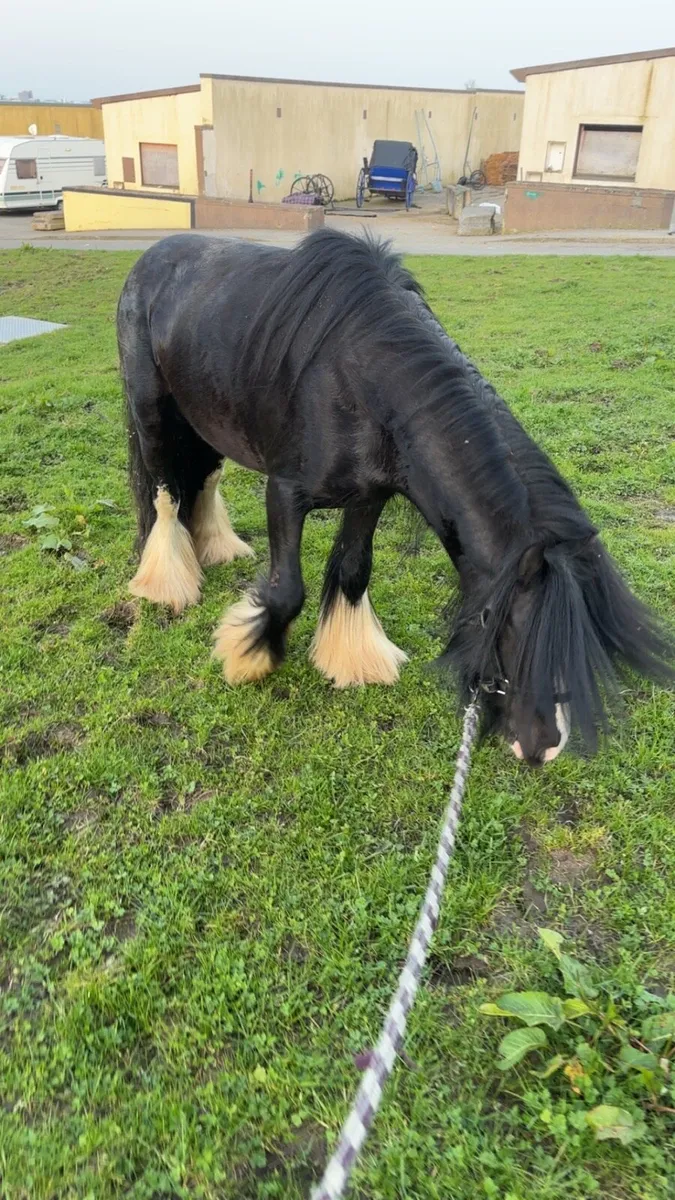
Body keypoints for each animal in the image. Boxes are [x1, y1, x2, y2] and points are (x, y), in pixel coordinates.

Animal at [118, 228, 672, 766]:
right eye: (514, 631)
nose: (544, 747)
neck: (361, 377)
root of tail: (149, 259)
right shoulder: (285, 493)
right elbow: (287, 590)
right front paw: (248, 656)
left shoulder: (369, 497)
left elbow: (352, 571)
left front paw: (353, 659)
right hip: (154, 414)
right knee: (165, 493)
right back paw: (167, 582)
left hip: (208, 419)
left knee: (204, 478)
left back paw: (216, 548)